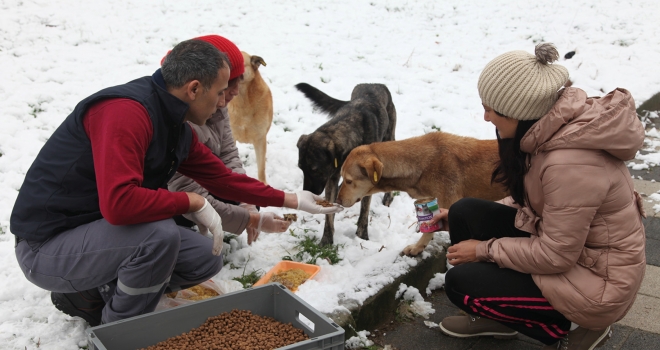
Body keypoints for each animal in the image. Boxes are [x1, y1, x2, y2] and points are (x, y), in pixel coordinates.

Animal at [296, 83, 398, 245]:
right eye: (301, 168)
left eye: (315, 170)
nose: (307, 193)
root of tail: (374, 84)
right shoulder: (332, 177)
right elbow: (329, 214)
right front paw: (326, 240)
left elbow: (364, 211)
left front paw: (362, 237)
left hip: (389, 137)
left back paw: (388, 197)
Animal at [336, 131, 506, 254]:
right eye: (342, 177)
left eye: (348, 181)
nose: (337, 201)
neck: (420, 165)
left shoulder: (448, 205)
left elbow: (429, 231)